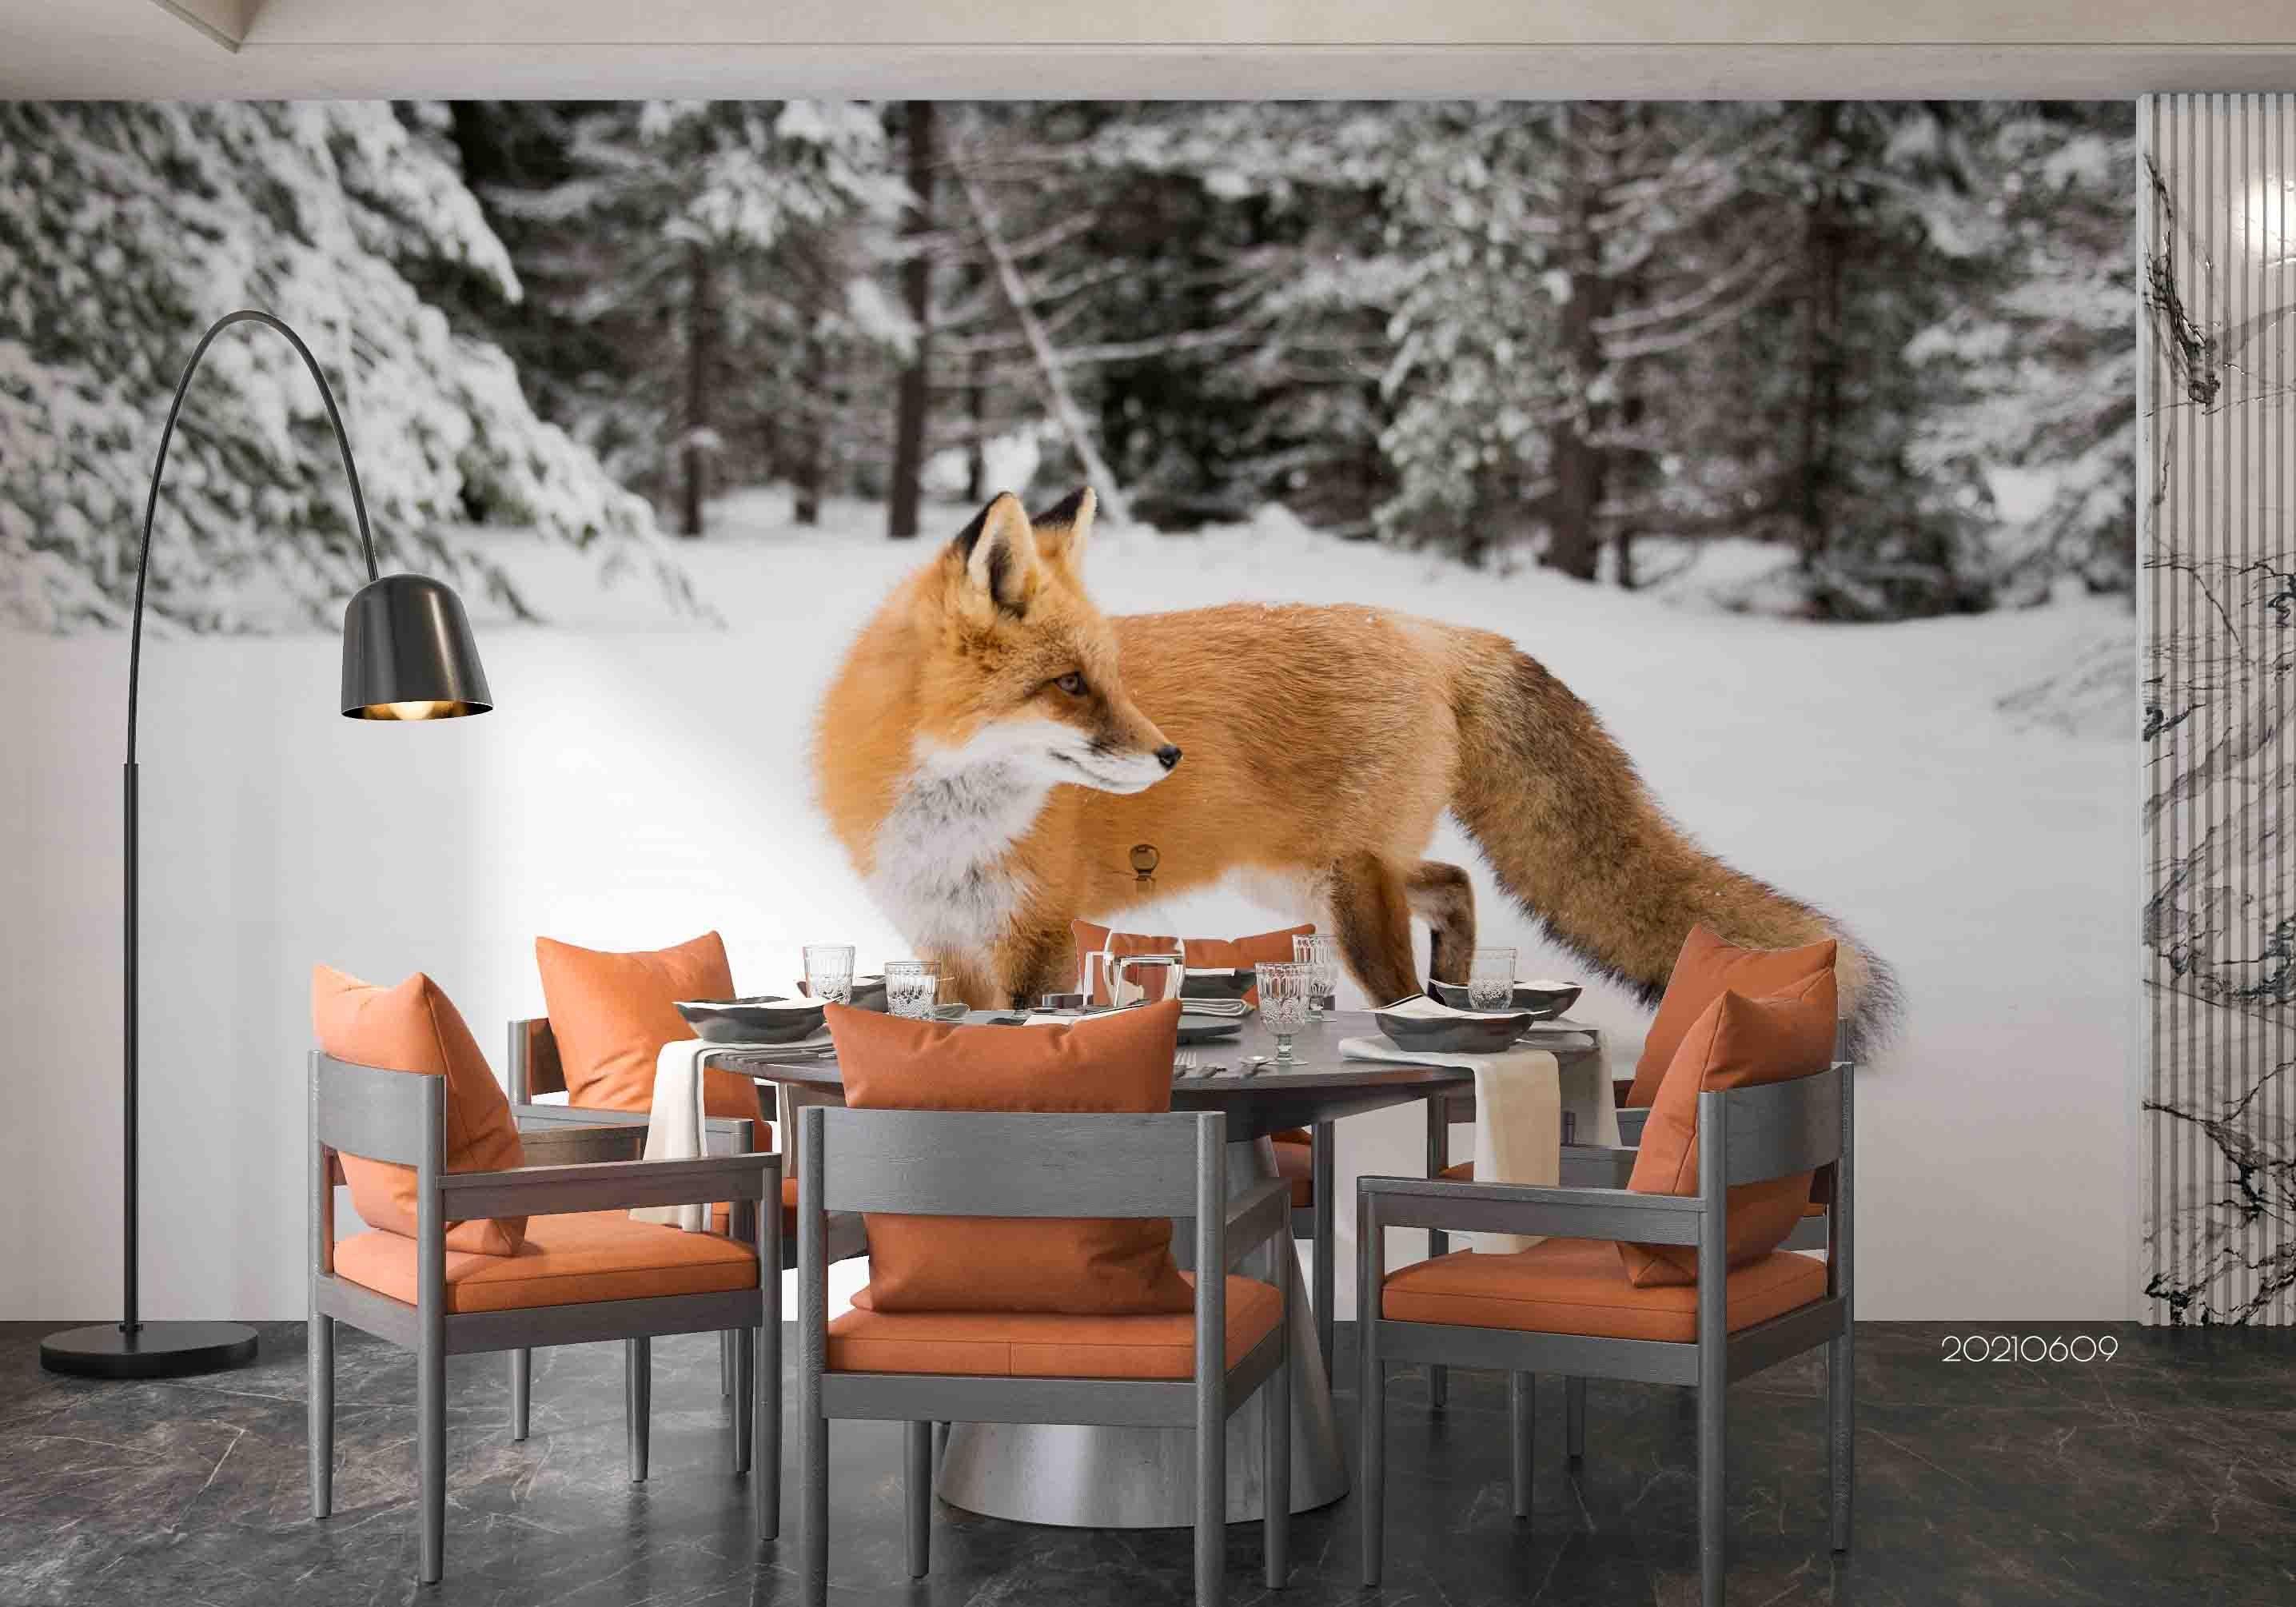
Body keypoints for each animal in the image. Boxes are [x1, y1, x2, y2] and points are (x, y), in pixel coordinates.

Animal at [813, 487, 1899, 1049]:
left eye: (1109, 678)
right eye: (1071, 685)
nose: (1168, 753)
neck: (954, 820)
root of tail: (1426, 630)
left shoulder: (1036, 931)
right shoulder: (944, 939)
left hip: (1341, 886)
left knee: (1420, 935)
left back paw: (1442, 1007)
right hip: (1303, 877)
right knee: (1454, 880)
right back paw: (1462, 985)